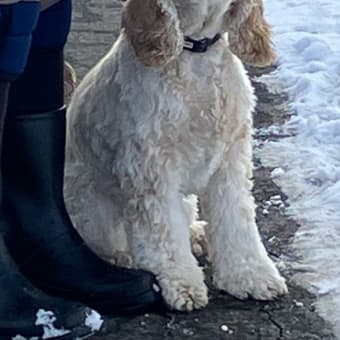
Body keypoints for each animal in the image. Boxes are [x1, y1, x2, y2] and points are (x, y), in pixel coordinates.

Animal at [65, 0, 286, 310]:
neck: (195, 53)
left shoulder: (230, 162)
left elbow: (237, 222)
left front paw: (252, 276)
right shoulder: (151, 168)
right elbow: (164, 233)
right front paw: (182, 284)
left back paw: (197, 235)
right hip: (87, 201)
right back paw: (124, 257)